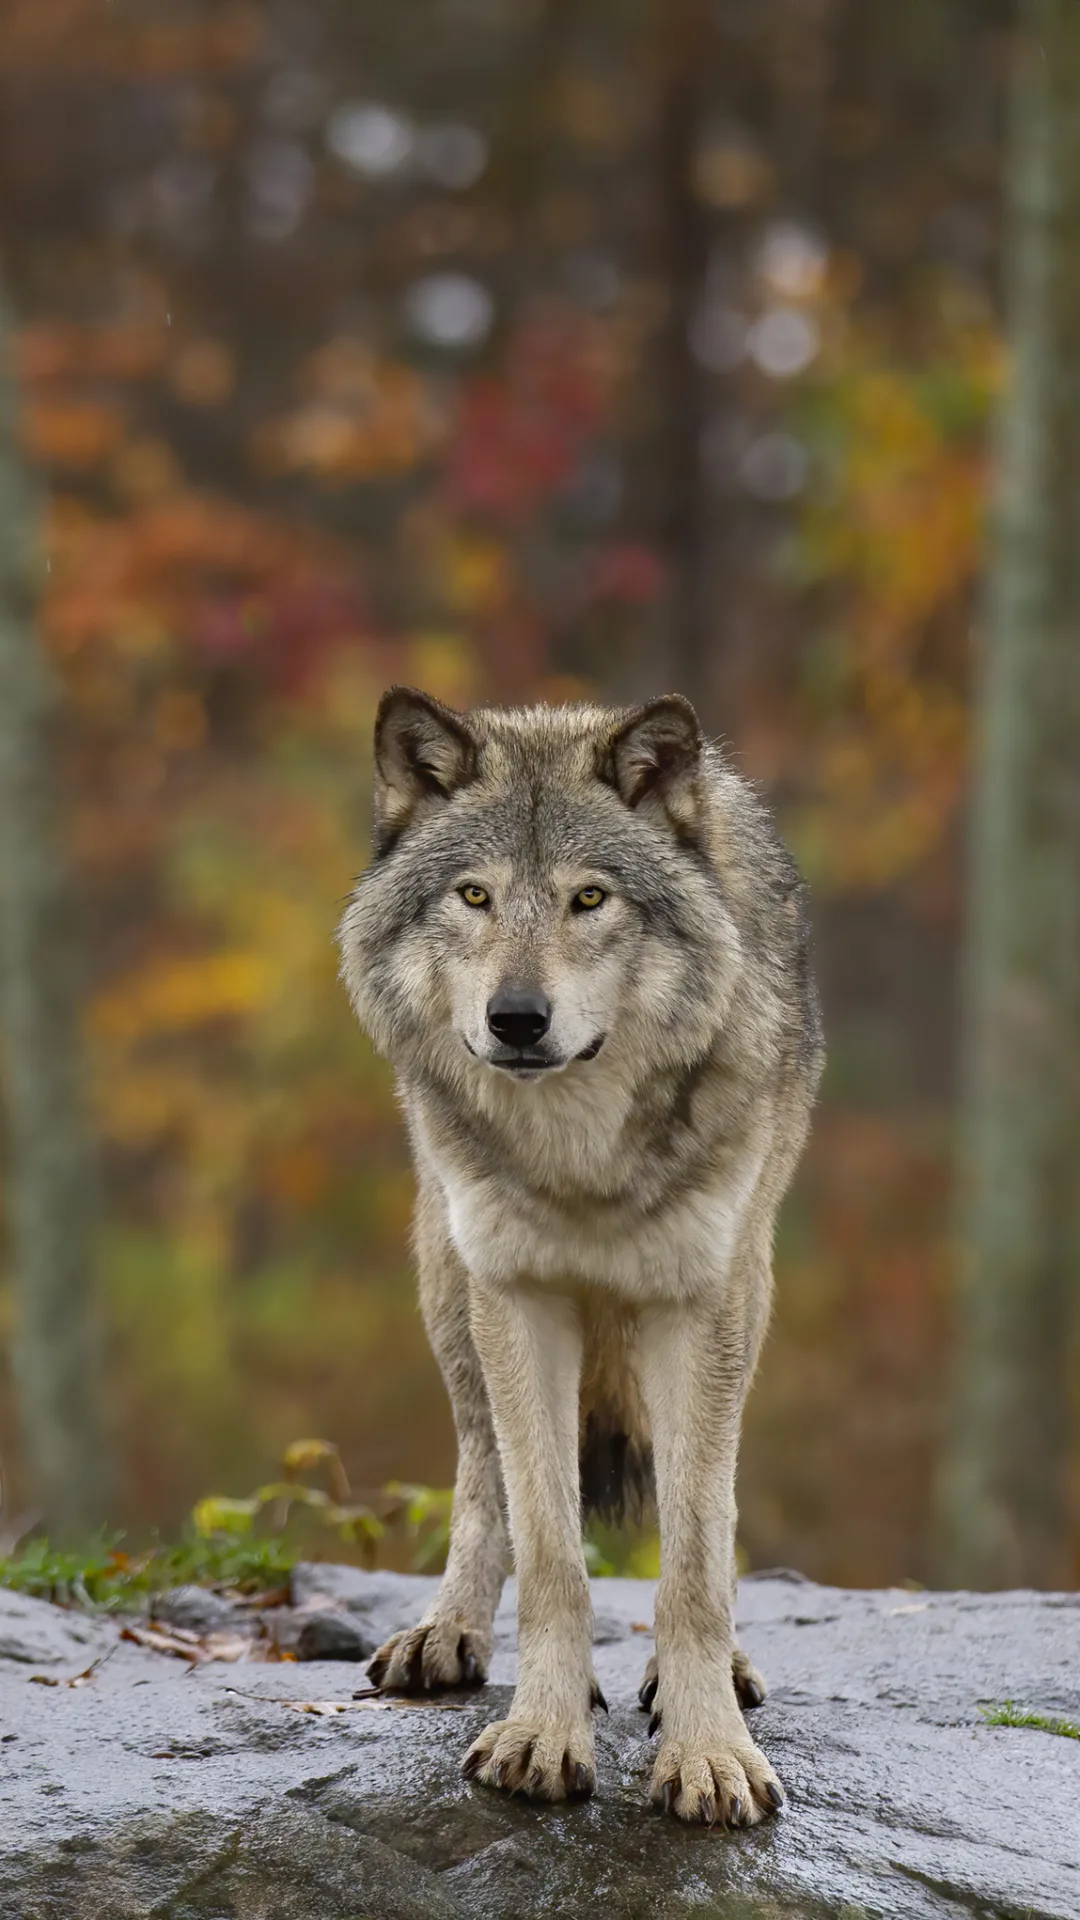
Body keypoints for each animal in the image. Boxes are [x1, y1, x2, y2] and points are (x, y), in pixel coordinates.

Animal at [340, 683, 818, 1820]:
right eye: (473, 896)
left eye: (589, 899)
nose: (517, 1018)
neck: (581, 1162)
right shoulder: (518, 1294)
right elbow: (552, 1549)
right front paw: (543, 1735)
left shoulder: (698, 1302)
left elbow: (695, 1559)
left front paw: (708, 1751)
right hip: (448, 1287)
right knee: (483, 1477)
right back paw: (447, 1633)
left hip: (749, 1287)